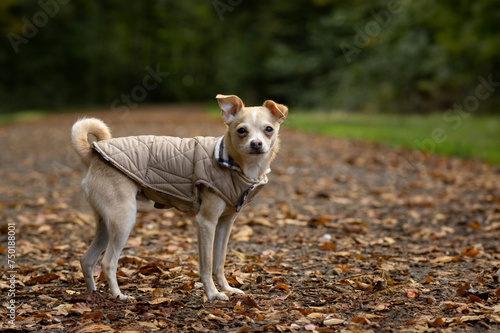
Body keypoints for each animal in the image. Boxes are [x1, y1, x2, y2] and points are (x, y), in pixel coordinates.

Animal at [72, 94, 288, 300]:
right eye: (241, 130)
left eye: (269, 129)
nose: (256, 143)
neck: (235, 164)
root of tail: (93, 154)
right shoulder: (206, 222)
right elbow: (207, 264)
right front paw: (213, 294)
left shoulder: (224, 224)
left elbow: (219, 261)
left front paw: (227, 288)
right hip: (123, 220)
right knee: (108, 262)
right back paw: (119, 296)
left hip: (106, 224)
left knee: (87, 260)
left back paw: (93, 294)